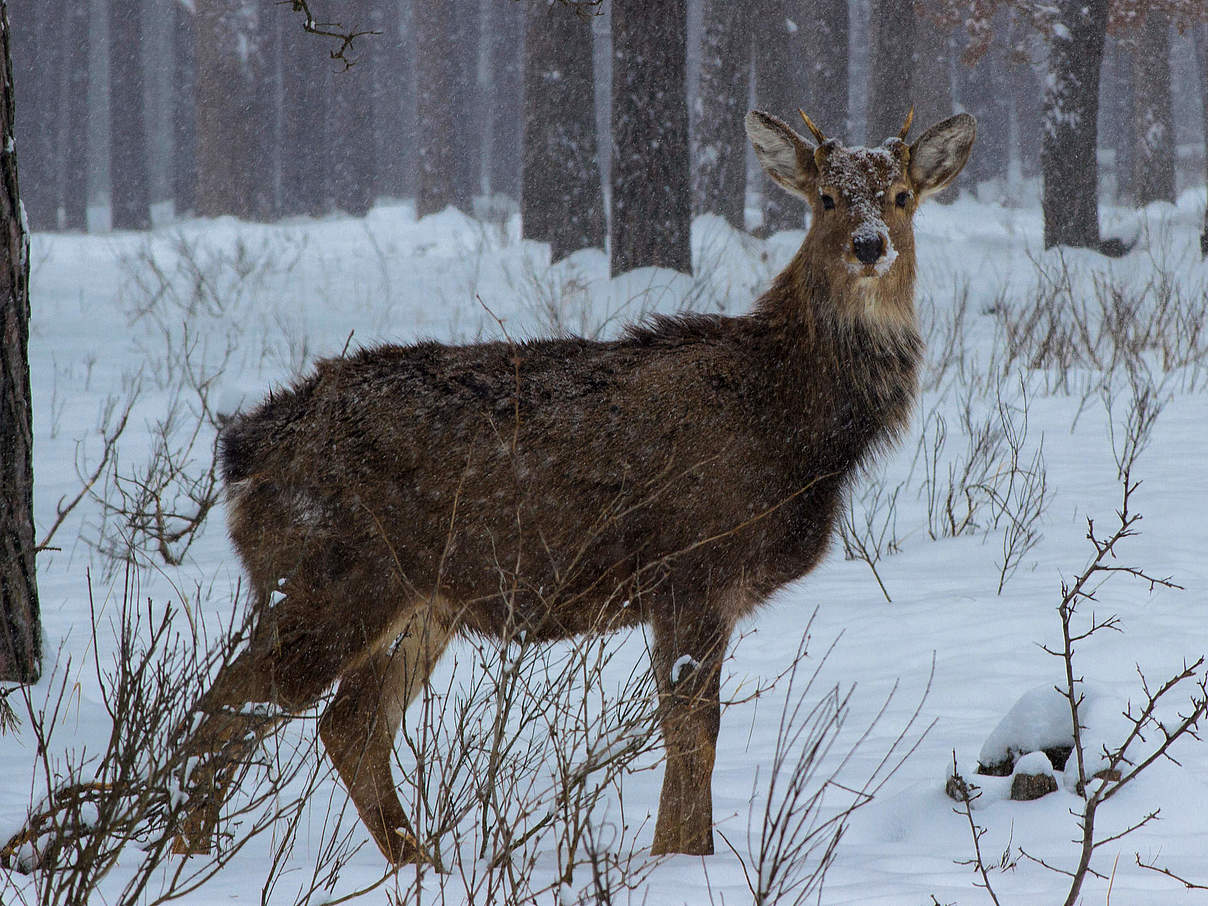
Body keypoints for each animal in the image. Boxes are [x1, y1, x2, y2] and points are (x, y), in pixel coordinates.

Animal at [175, 104, 976, 864]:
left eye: (901, 196)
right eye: (827, 197)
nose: (870, 245)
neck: (793, 424)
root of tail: (248, 446)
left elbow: (687, 733)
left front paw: (674, 855)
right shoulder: (691, 568)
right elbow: (694, 734)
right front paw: (682, 859)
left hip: (420, 601)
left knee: (349, 726)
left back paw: (418, 862)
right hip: (328, 576)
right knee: (230, 707)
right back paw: (187, 852)